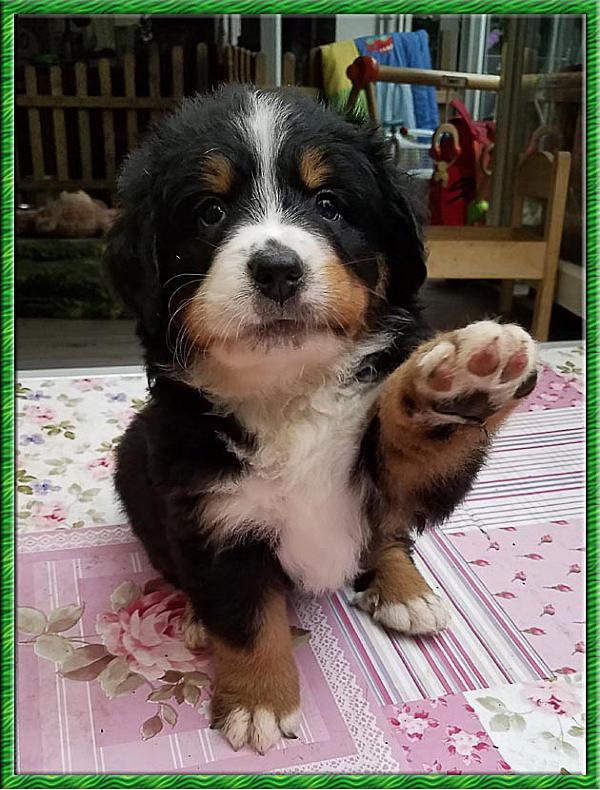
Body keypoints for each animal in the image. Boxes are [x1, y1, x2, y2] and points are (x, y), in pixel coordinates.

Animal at [106, 87, 538, 754]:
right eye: (209, 212)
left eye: (329, 205)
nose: (278, 268)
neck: (290, 392)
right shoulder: (213, 516)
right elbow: (247, 620)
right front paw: (258, 700)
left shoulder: (382, 473)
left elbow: (417, 456)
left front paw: (465, 381)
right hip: (135, 462)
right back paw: (198, 616)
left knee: (389, 536)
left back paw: (405, 589)